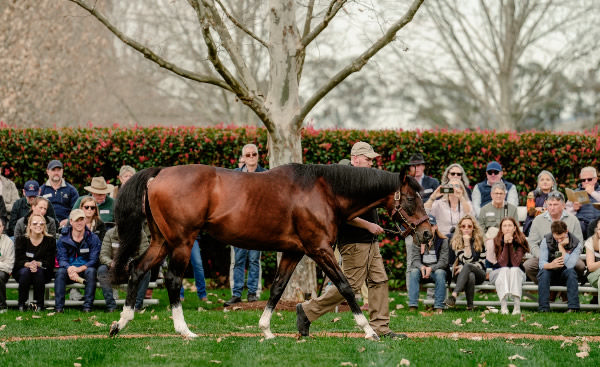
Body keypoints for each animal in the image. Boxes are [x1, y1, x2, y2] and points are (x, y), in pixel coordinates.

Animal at [109, 165, 432, 340]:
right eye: (412, 199)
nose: (428, 233)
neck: (323, 192)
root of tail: (159, 174)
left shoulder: (293, 252)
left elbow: (277, 288)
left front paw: (266, 330)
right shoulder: (319, 249)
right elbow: (345, 287)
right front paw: (369, 331)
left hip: (162, 241)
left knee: (138, 269)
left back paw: (120, 324)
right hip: (181, 241)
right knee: (173, 279)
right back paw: (184, 330)